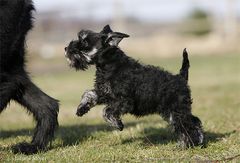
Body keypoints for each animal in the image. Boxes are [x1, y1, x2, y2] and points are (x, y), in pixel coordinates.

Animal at [65, 25, 204, 148]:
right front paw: (81, 109)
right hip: (172, 112)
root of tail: (181, 77)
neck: (110, 65)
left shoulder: (124, 101)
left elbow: (106, 111)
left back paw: (190, 144)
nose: (66, 49)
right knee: (191, 122)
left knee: (189, 124)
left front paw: (118, 124)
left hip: (177, 109)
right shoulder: (105, 93)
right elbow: (89, 94)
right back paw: (192, 142)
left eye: (84, 41)